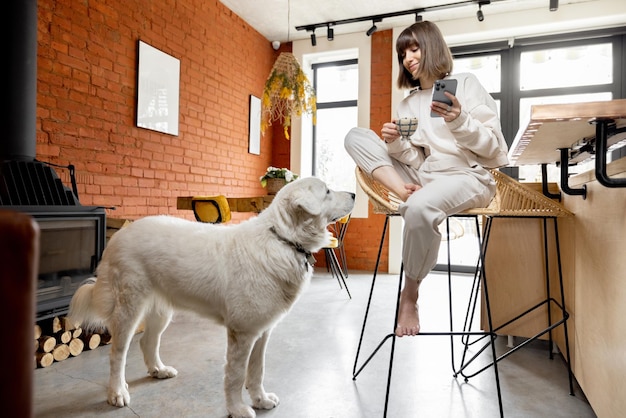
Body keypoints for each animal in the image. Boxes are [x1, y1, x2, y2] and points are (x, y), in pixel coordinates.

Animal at [68, 178, 354, 418]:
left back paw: (159, 370)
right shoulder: (242, 333)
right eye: (327, 191)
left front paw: (261, 399)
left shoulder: (262, 332)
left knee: (147, 342)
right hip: (129, 309)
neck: (283, 240)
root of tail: (120, 234)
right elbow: (236, 376)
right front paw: (238, 409)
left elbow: (257, 370)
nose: (353, 193)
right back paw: (117, 392)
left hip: (161, 311)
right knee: (118, 353)